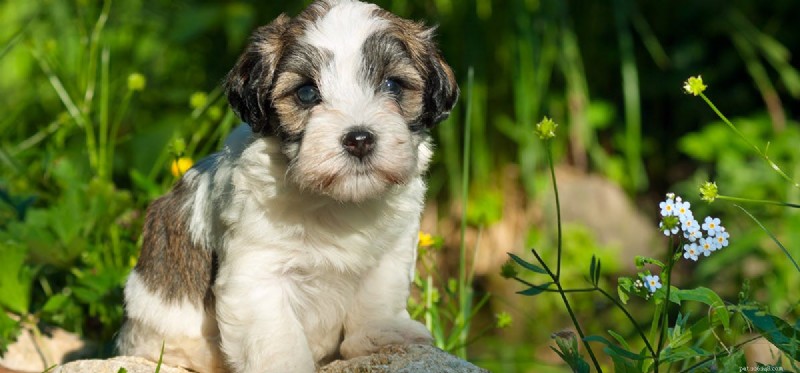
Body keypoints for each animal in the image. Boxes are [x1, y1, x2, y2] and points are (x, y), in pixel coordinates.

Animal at [116, 0, 460, 372]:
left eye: (393, 85)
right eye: (306, 93)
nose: (359, 139)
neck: (336, 202)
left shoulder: (391, 250)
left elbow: (378, 295)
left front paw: (381, 333)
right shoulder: (257, 271)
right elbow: (277, 336)